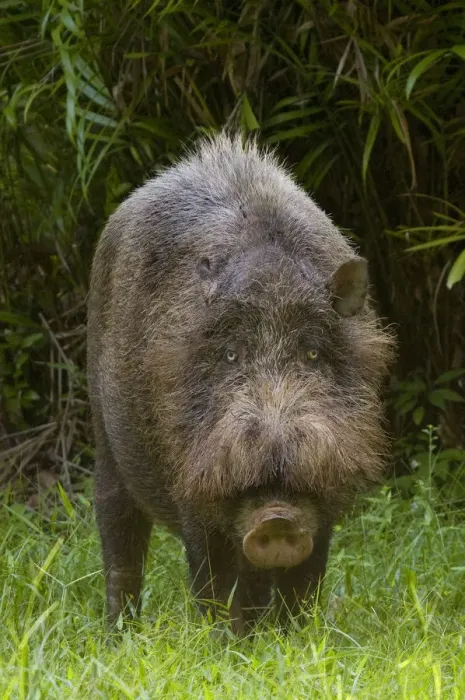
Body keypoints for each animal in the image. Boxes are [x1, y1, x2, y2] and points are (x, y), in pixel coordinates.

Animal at [87, 133, 394, 634]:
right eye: (231, 354)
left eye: (313, 353)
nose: (276, 520)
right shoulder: (192, 480)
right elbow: (211, 582)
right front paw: (222, 644)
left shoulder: (325, 497)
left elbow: (304, 583)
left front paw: (292, 640)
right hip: (104, 438)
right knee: (119, 539)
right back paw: (118, 637)